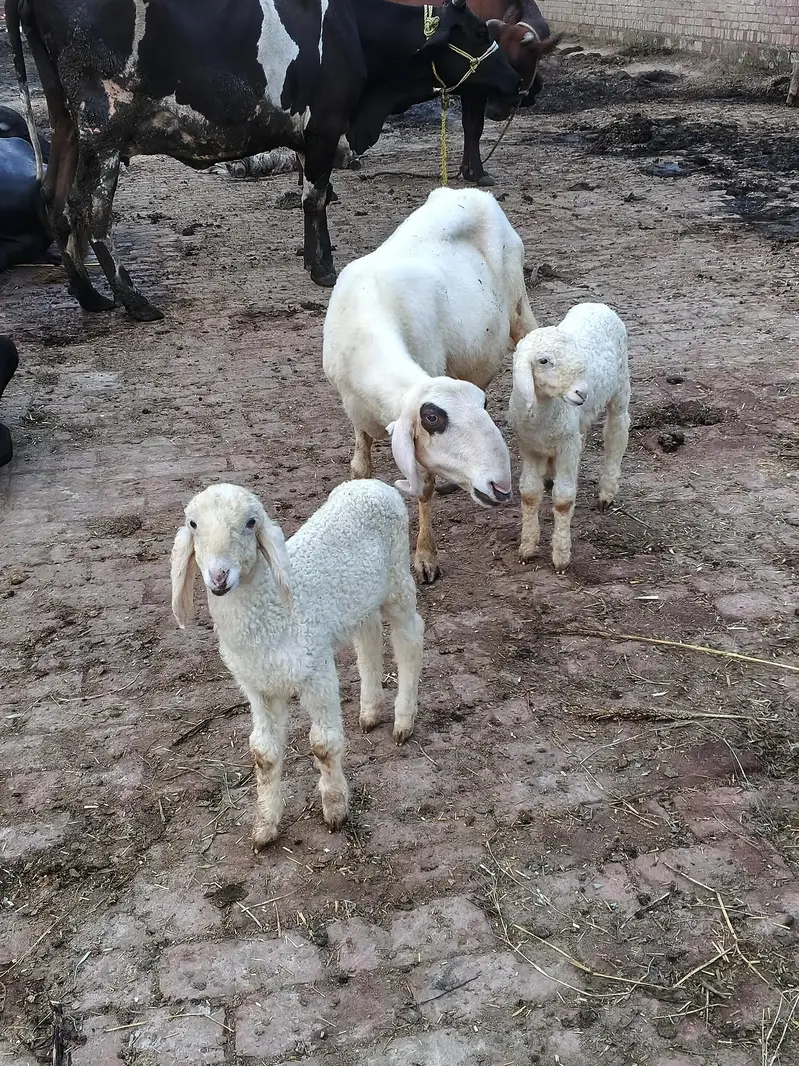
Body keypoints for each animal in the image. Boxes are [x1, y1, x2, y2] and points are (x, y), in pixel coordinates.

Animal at [171, 478, 424, 851]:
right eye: (193, 524)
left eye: (251, 523)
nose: (218, 577)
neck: (268, 619)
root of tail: (371, 483)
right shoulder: (258, 687)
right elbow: (263, 753)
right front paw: (265, 826)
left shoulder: (316, 669)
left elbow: (323, 745)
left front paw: (335, 810)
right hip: (359, 597)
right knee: (369, 638)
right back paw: (369, 711)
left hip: (397, 577)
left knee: (410, 637)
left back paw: (403, 720)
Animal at [323, 186, 537, 584]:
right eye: (432, 417)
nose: (500, 488)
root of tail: (473, 192)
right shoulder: (353, 407)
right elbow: (360, 468)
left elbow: (423, 488)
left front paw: (425, 557)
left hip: (518, 306)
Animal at [508, 302, 630, 573]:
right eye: (543, 361)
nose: (582, 393)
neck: (544, 412)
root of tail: (597, 305)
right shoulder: (529, 446)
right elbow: (529, 493)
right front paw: (527, 547)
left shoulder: (566, 444)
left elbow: (563, 500)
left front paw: (561, 555)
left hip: (621, 384)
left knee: (617, 430)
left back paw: (607, 491)